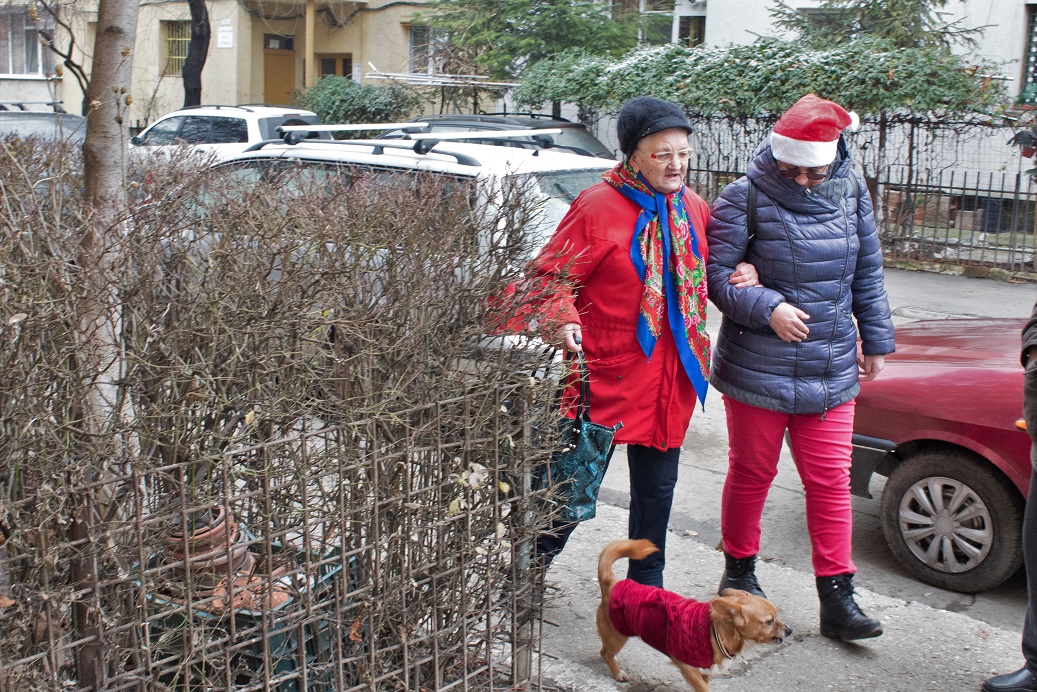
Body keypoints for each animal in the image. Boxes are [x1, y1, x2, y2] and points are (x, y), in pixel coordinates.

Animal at [597, 539, 788, 692]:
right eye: (769, 621)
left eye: (776, 617)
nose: (790, 630)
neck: (715, 631)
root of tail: (612, 583)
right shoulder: (688, 669)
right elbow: (704, 689)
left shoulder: (706, 670)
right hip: (617, 637)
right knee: (605, 653)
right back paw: (617, 673)